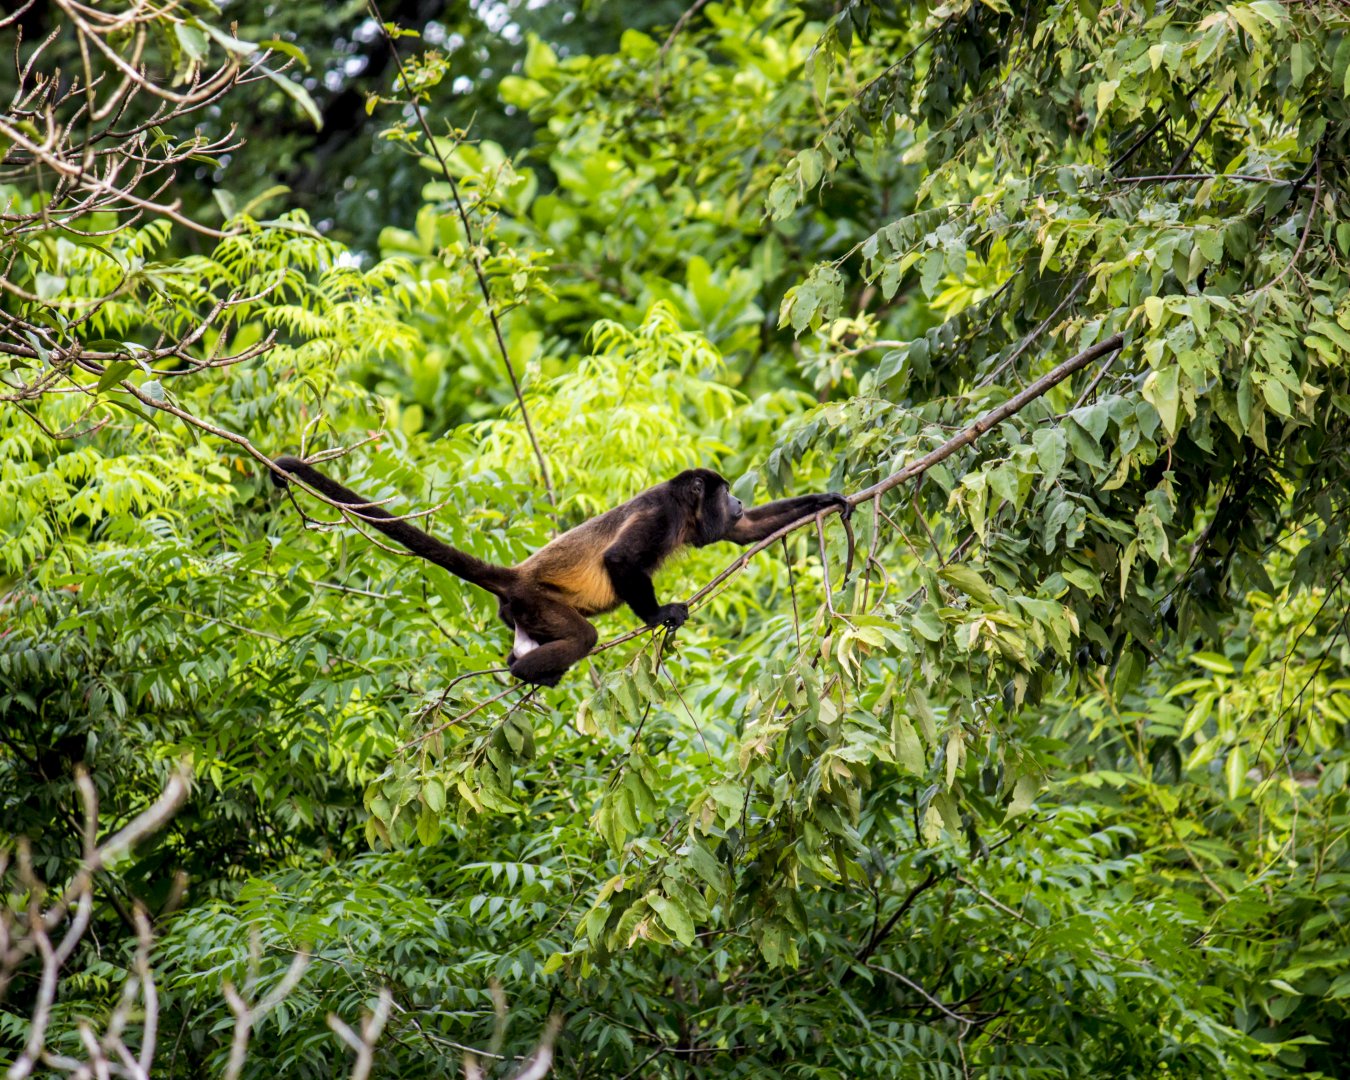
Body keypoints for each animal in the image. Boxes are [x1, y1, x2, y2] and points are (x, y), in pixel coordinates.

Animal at [271, 456, 849, 686]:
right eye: (725, 490)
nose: (739, 498)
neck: (683, 512)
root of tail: (514, 578)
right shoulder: (659, 516)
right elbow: (620, 561)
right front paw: (660, 615)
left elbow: (746, 532)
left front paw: (829, 499)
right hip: (537, 602)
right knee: (582, 636)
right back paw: (526, 673)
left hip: (519, 615)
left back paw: (524, 665)